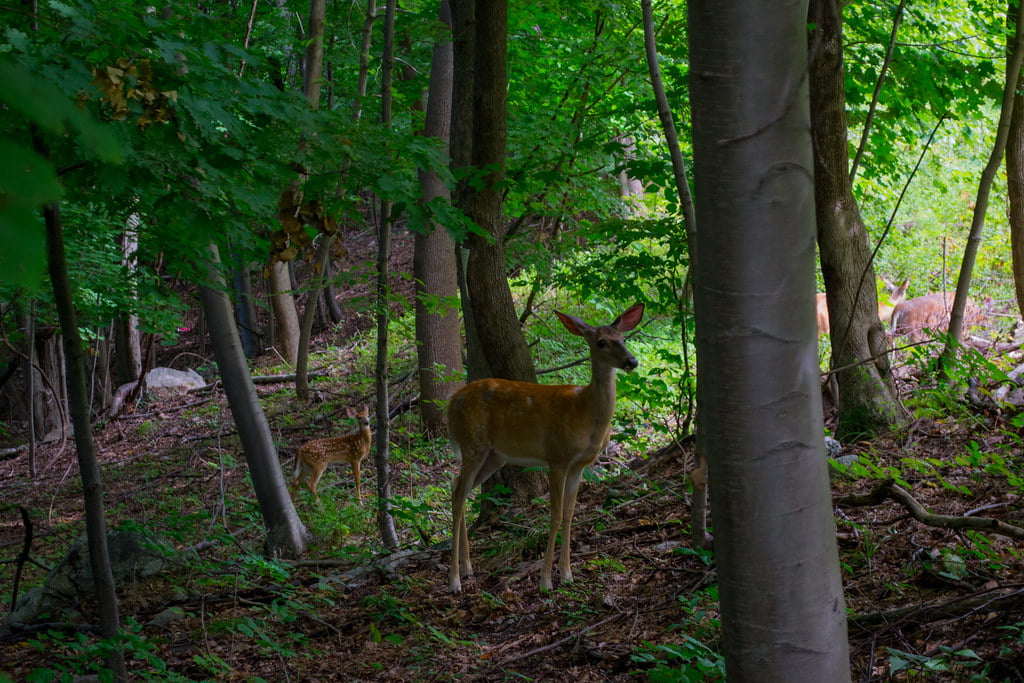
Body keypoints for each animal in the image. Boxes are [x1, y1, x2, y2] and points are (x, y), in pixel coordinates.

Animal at [446, 303, 643, 593]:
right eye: (601, 342)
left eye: (624, 338)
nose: (632, 361)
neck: (585, 412)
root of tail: (451, 403)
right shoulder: (557, 457)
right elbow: (555, 514)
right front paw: (546, 580)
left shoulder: (580, 465)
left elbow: (570, 514)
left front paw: (568, 573)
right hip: (472, 443)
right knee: (460, 495)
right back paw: (455, 580)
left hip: (494, 455)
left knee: (457, 486)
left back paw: (468, 568)